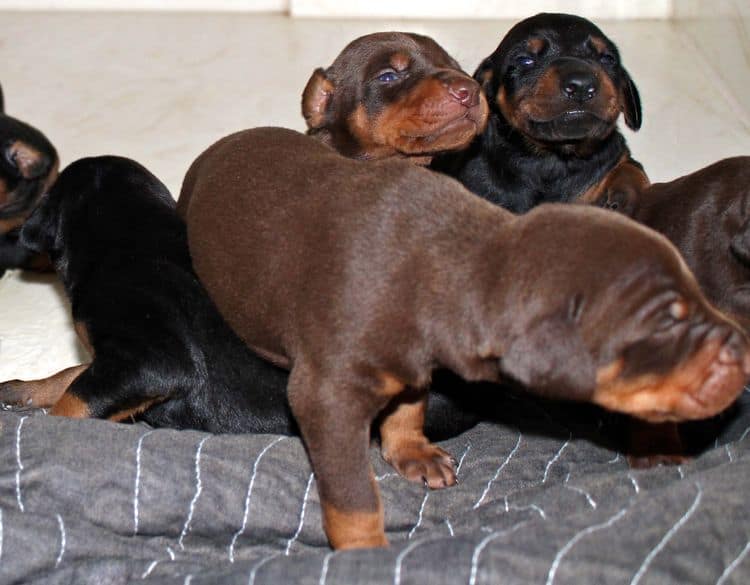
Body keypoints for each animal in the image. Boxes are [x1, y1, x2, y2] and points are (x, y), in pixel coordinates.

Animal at [179, 126, 748, 548]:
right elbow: (353, 496)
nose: (741, 350)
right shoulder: (326, 397)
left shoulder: (415, 359)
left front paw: (413, 452)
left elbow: (408, 406)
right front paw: (366, 551)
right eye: (665, 322)